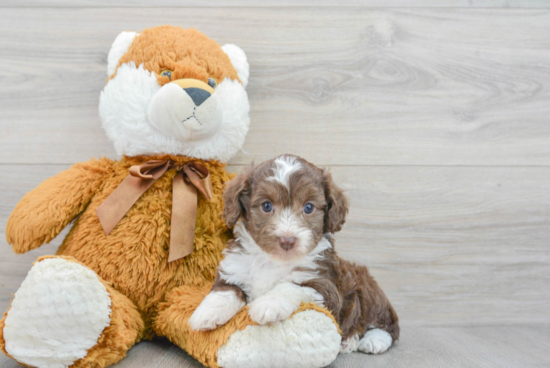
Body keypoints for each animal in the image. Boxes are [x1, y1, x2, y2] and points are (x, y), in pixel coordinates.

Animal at [190, 155, 402, 354]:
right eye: (266, 206)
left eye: (308, 207)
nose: (287, 240)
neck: (272, 260)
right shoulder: (235, 268)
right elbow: (226, 290)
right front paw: (206, 312)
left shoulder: (326, 286)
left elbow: (289, 285)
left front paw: (269, 304)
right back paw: (350, 341)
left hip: (367, 289)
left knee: (388, 324)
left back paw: (373, 340)